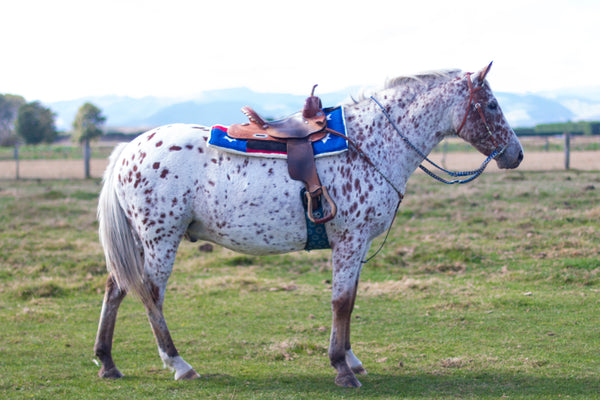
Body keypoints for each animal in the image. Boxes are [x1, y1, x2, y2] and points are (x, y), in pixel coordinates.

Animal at [95, 63, 524, 388]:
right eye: (491, 104)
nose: (516, 154)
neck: (370, 144)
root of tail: (130, 148)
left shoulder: (356, 244)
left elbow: (350, 301)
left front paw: (350, 358)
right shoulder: (350, 240)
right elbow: (341, 302)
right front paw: (341, 368)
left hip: (141, 240)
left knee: (116, 287)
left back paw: (107, 362)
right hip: (160, 238)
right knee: (151, 292)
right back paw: (179, 364)